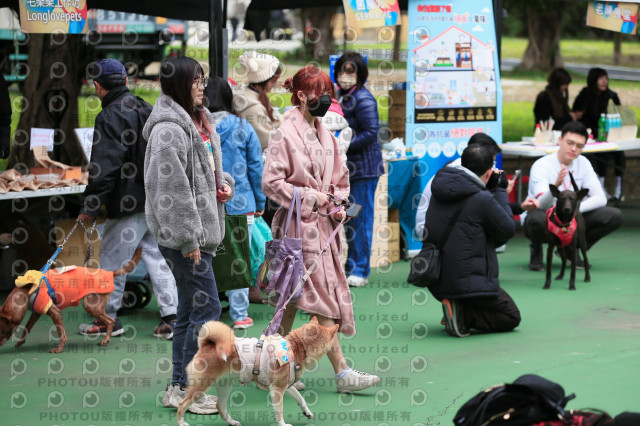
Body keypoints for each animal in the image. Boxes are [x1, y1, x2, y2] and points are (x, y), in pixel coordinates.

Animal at [0, 246, 141, 352]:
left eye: (1, 331)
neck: (26, 289)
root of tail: (109, 273)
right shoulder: (37, 311)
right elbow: (27, 327)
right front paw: (20, 342)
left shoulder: (55, 312)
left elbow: (60, 332)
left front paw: (59, 349)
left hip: (90, 305)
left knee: (110, 321)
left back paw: (105, 340)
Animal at [178, 316, 340, 426]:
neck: (295, 347)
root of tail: (207, 345)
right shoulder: (277, 389)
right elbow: (279, 411)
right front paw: (283, 424)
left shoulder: (286, 386)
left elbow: (301, 399)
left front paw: (307, 412)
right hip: (201, 387)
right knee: (182, 404)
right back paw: (181, 422)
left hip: (225, 386)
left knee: (220, 406)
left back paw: (232, 422)